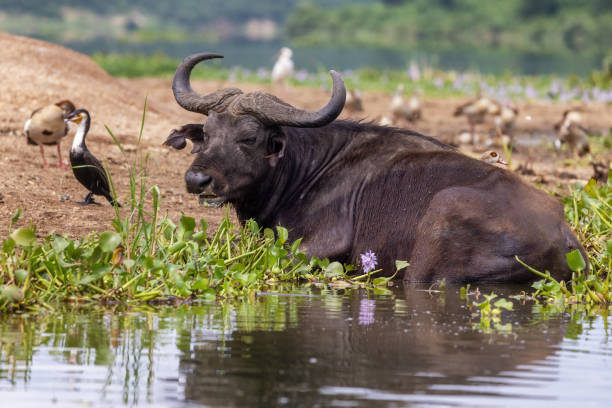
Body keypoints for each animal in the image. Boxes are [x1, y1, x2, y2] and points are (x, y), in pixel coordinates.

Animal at [165, 52, 584, 284]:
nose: (197, 179)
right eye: (207, 133)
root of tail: (563, 234)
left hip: (433, 242)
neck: (305, 171)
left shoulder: (315, 248)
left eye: (249, 138)